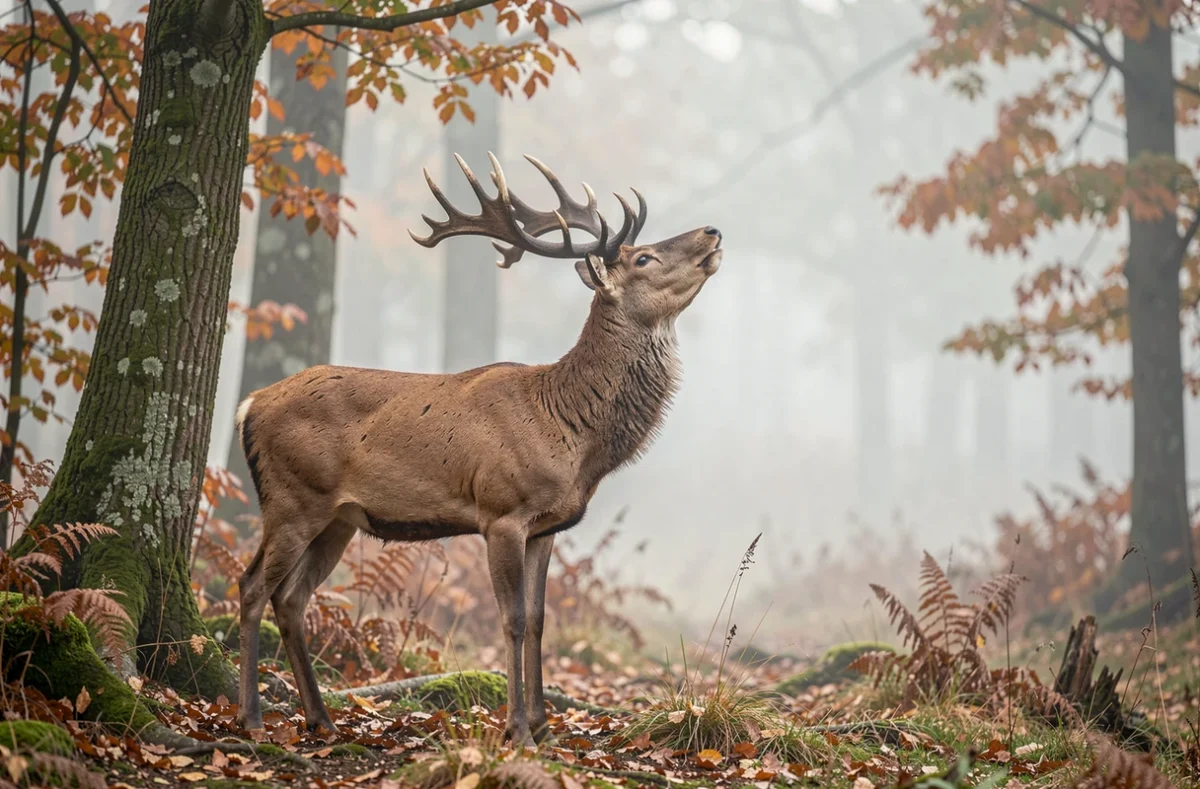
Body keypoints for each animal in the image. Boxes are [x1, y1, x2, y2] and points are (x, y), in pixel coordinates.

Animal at [233, 152, 722, 745]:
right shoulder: (501, 510)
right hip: (292, 498)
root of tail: (249, 405)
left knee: (291, 598)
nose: (713, 230)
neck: (571, 432)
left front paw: (543, 724)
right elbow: (512, 620)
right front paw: (518, 730)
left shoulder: (548, 526)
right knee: (251, 587)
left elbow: (539, 621)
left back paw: (321, 719)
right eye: (645, 257)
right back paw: (253, 718)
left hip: (338, 518)